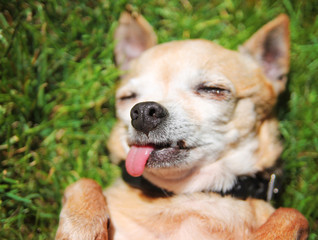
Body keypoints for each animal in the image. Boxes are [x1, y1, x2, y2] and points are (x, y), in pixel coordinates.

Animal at [56, 11, 308, 240]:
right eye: (127, 97)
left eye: (213, 89)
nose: (143, 112)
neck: (186, 194)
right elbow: (84, 182)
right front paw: (80, 228)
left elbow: (292, 214)